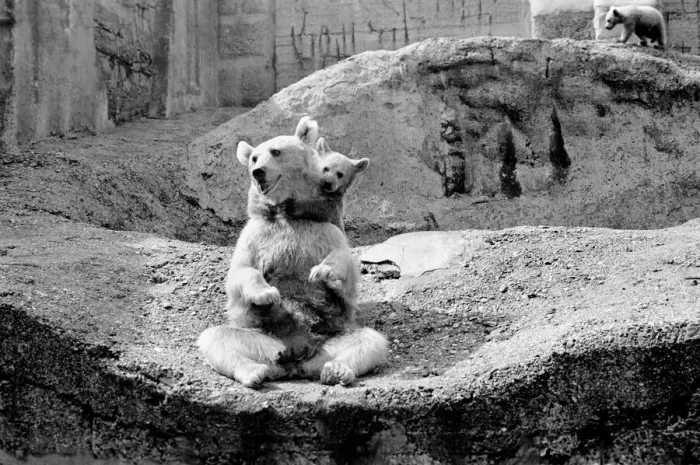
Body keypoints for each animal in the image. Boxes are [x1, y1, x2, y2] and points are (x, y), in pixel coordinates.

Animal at [197, 116, 388, 388]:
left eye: (275, 151)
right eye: (253, 158)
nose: (258, 172)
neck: (286, 214)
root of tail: (296, 359)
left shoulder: (323, 228)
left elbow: (345, 263)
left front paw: (322, 272)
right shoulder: (256, 233)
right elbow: (242, 270)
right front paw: (266, 294)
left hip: (329, 338)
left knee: (369, 340)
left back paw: (336, 370)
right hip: (261, 337)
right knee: (217, 338)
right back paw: (254, 372)